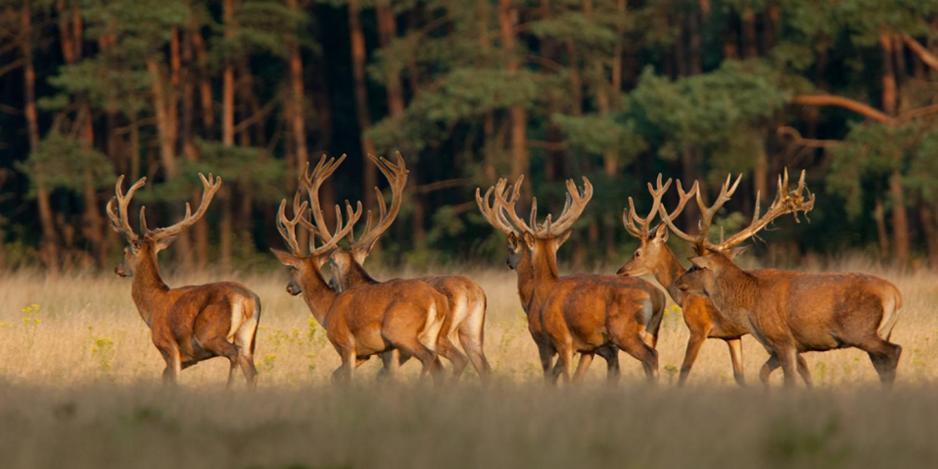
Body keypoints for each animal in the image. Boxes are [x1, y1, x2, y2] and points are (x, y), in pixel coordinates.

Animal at [106, 174, 260, 386]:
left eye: (124, 251)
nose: (117, 269)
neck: (152, 307)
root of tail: (248, 300)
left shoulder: (166, 344)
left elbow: (172, 379)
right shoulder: (190, 358)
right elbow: (165, 376)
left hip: (209, 333)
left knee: (234, 354)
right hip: (247, 334)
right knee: (252, 371)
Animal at [268, 159, 448, 382]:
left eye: (291, 268)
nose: (289, 287)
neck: (328, 308)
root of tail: (437, 301)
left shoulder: (347, 345)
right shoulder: (367, 354)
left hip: (399, 331)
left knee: (428, 357)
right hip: (429, 336)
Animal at [304, 154, 494, 380]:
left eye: (331, 265)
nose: (332, 284)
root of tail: (472, 291)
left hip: (430, 335)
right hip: (472, 333)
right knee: (483, 367)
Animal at [476, 174, 664, 382]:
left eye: (512, 247)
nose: (507, 261)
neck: (539, 294)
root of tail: (658, 297)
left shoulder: (553, 340)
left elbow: (556, 377)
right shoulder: (588, 348)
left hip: (624, 331)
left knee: (651, 356)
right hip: (649, 333)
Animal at [660, 170, 904, 386]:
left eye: (694, 267)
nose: (678, 283)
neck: (749, 303)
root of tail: (896, 295)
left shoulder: (782, 339)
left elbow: (790, 380)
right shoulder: (779, 346)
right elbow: (763, 373)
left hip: (859, 330)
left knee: (894, 351)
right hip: (883, 330)